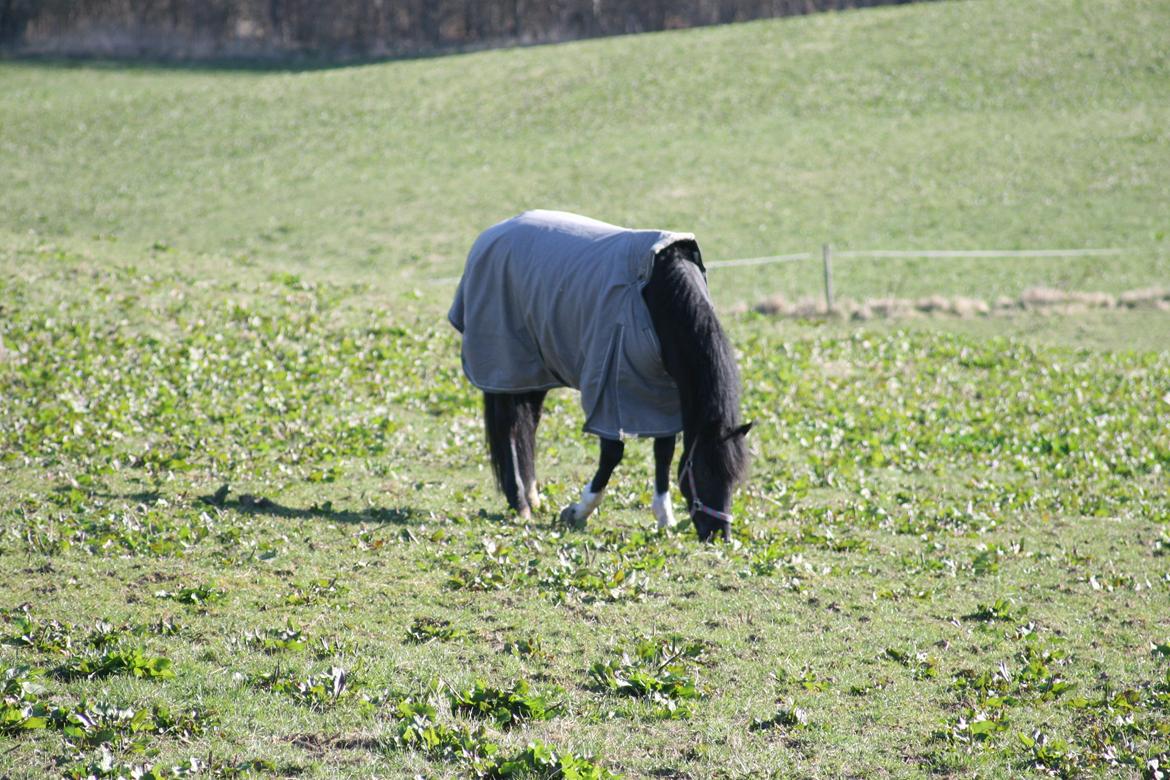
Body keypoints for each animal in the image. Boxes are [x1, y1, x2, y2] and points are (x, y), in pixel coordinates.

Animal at [446, 211, 748, 542]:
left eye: (734, 478)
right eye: (705, 471)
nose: (720, 535)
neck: (657, 297)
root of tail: (491, 234)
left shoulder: (661, 394)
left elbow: (664, 452)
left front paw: (664, 517)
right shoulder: (609, 392)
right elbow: (613, 453)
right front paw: (579, 511)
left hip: (534, 373)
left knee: (528, 426)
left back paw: (533, 496)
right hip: (506, 368)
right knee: (508, 427)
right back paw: (520, 502)